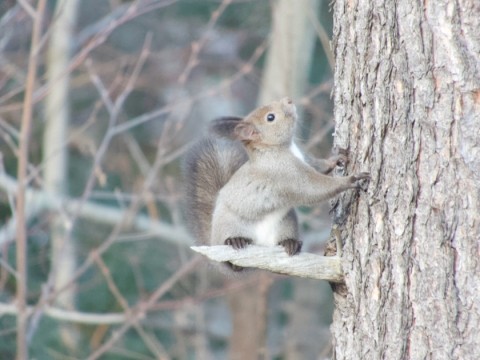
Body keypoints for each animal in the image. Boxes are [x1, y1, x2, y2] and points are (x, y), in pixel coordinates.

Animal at [183, 95, 368, 270]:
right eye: (270, 117)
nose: (289, 100)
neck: (280, 149)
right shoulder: (285, 174)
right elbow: (312, 188)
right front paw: (350, 180)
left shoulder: (305, 161)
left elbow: (318, 166)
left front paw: (337, 158)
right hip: (228, 226)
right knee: (232, 263)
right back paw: (235, 241)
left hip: (286, 223)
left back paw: (290, 243)